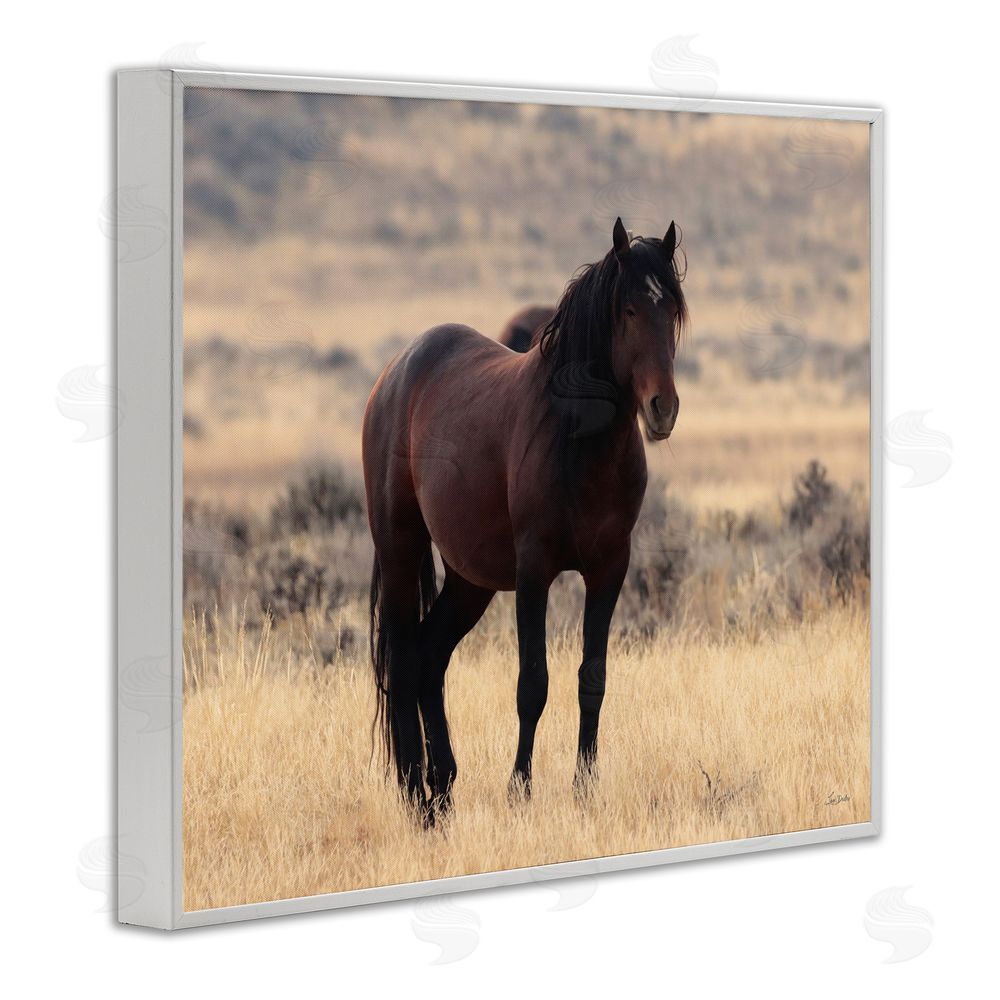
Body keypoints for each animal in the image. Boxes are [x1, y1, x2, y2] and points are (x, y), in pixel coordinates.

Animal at [362, 217, 687, 821]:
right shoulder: (534, 571)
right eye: (629, 310)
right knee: (404, 659)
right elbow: (532, 684)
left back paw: (444, 788)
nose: (663, 409)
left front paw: (585, 788)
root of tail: (394, 374)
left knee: (430, 658)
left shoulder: (609, 570)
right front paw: (520, 788)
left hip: (469, 580)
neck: (580, 443)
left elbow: (592, 679)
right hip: (400, 550)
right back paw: (417, 795)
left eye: (673, 310)